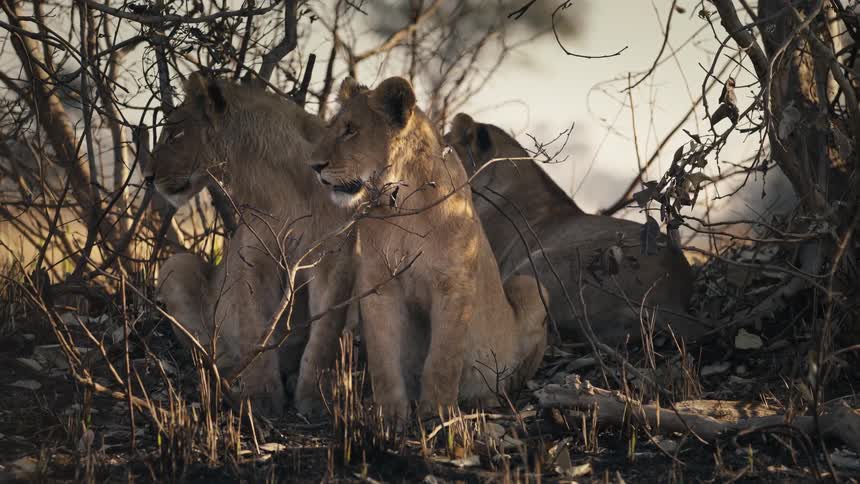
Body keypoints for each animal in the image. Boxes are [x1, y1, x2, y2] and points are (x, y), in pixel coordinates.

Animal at [145, 73, 356, 417]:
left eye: (175, 136)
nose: (147, 177)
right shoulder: (253, 259)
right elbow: (255, 327)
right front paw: (261, 396)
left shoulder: (334, 260)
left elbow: (325, 335)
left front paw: (315, 398)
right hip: (177, 264)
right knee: (205, 348)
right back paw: (231, 372)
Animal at [306, 76, 548, 419]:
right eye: (332, 127)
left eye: (351, 130)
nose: (314, 166)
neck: (401, 202)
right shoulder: (379, 285)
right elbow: (383, 357)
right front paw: (391, 416)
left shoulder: (454, 283)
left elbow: (443, 358)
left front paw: (438, 414)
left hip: (530, 286)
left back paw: (486, 398)